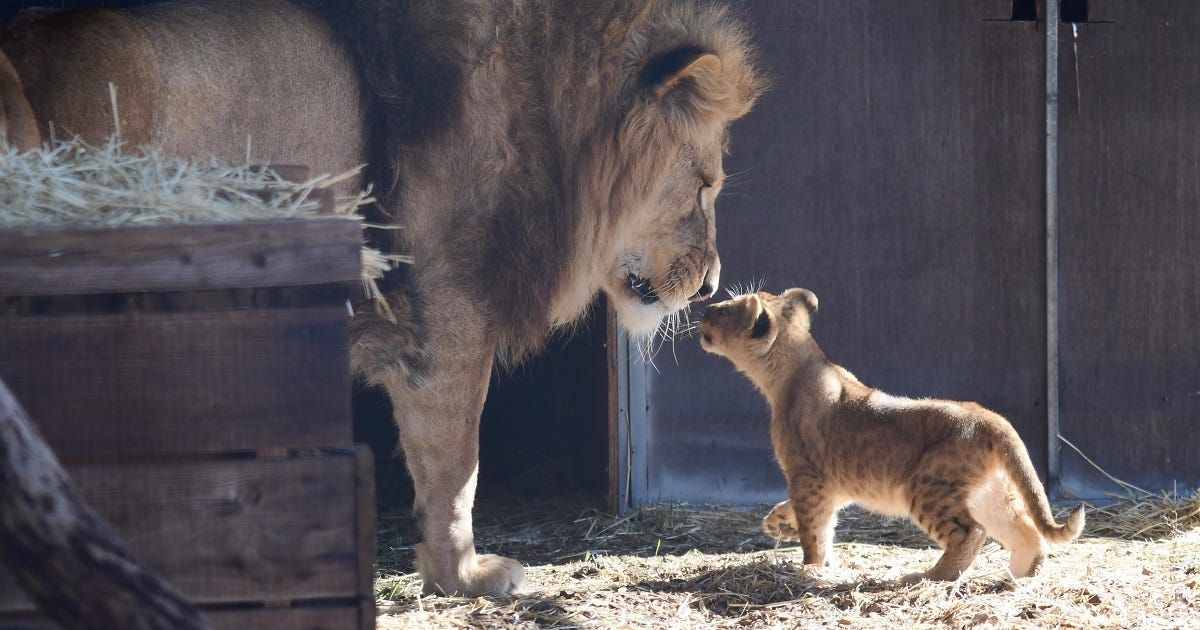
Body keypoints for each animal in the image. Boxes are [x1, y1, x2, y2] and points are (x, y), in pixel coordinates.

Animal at [698, 289, 1084, 582]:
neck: (789, 372)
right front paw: (778, 523)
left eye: (727, 308)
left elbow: (815, 529)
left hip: (927, 487)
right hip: (990, 493)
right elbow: (806, 513)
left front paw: (811, 569)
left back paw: (929, 577)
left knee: (971, 533)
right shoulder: (832, 484)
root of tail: (994, 420)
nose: (704, 309)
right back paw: (1021, 577)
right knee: (1026, 532)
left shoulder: (808, 476)